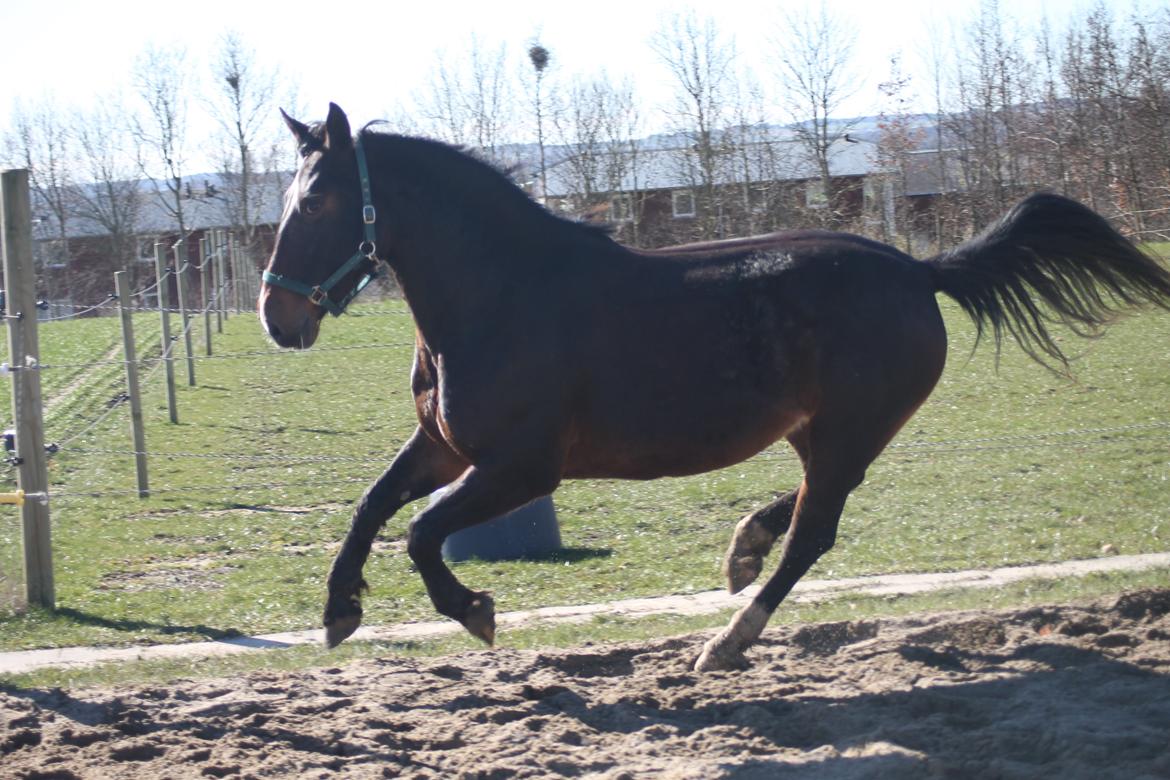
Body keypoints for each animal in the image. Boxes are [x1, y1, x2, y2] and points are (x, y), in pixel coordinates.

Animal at [260, 103, 1170, 673]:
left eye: (319, 198)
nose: (277, 315)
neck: (501, 293)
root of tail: (918, 270)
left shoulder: (522, 467)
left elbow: (419, 533)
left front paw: (475, 611)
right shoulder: (446, 446)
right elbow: (372, 506)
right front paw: (338, 612)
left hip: (850, 427)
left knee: (816, 530)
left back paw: (728, 640)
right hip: (821, 428)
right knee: (813, 503)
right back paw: (743, 548)